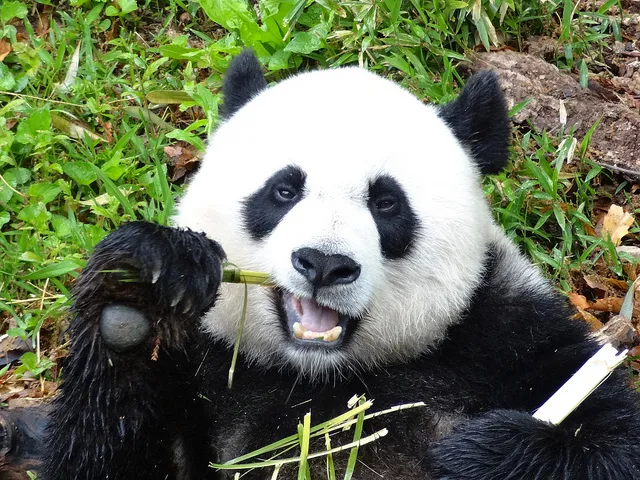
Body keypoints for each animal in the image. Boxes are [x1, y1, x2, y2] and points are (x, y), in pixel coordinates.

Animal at [42, 50, 640, 478]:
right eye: (284, 189)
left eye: (386, 203)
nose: (325, 264)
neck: (321, 375)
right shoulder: (207, 366)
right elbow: (106, 458)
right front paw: (139, 292)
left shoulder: (503, 332)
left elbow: (607, 440)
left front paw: (475, 453)